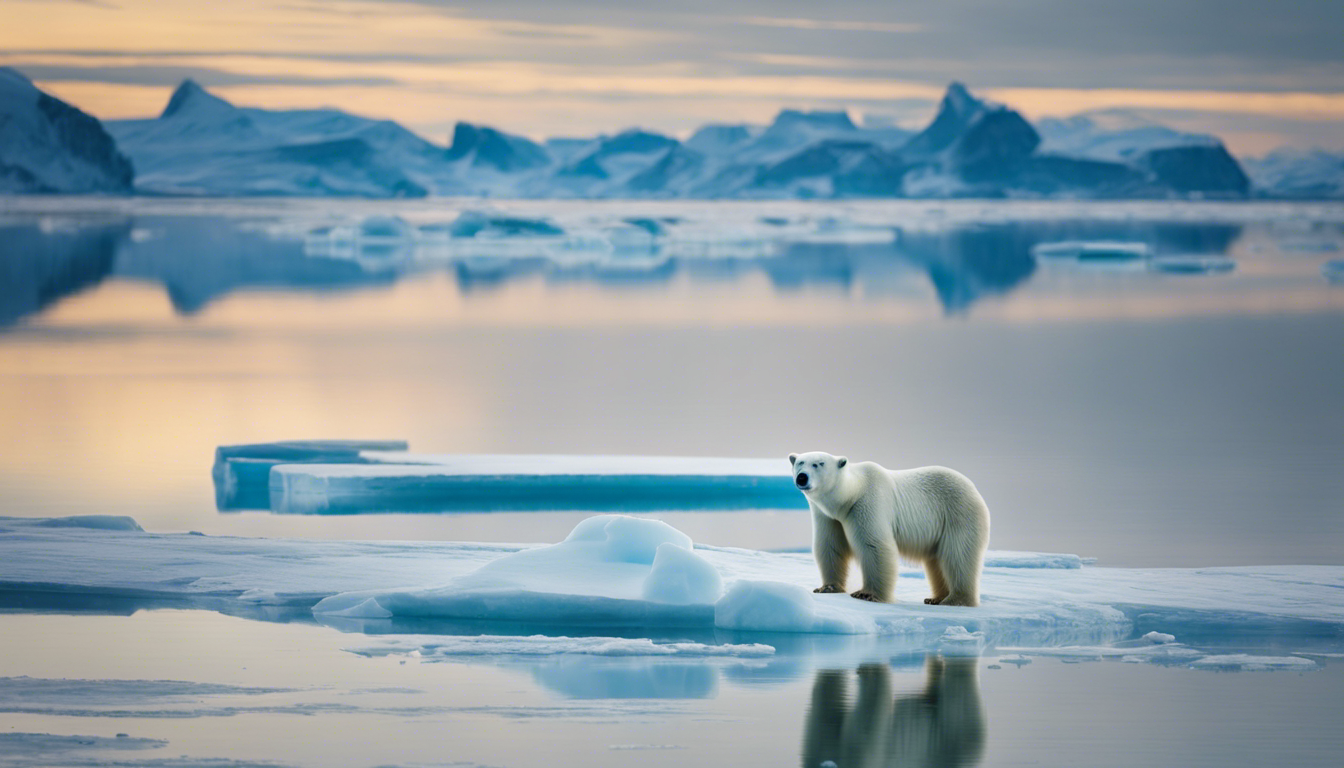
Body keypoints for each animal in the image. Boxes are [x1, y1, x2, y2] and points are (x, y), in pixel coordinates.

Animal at [784, 451, 989, 607]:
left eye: (818, 464)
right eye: (800, 462)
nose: (802, 477)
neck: (850, 496)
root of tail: (974, 489)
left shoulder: (867, 503)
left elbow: (874, 545)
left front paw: (866, 594)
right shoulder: (828, 517)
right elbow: (829, 546)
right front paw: (826, 588)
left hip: (959, 514)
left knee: (958, 555)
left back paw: (955, 600)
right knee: (937, 561)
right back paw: (935, 598)